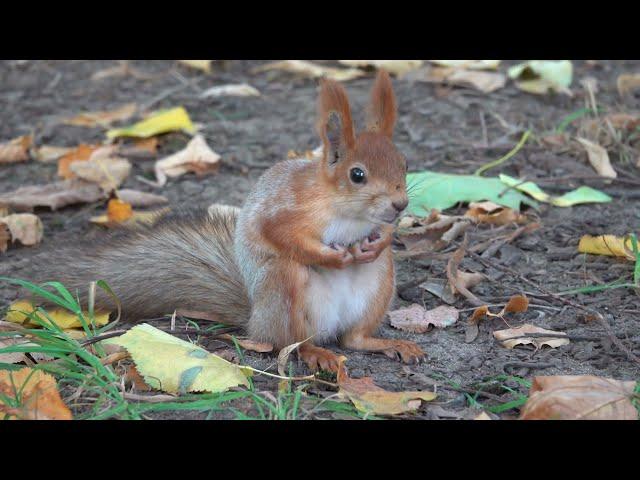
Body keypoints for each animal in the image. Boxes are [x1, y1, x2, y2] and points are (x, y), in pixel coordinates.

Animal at [27, 70, 424, 372]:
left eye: (405, 163)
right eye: (357, 175)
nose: (400, 204)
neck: (346, 211)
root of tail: (255, 319)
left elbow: (382, 232)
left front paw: (380, 239)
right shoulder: (286, 210)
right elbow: (279, 233)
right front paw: (332, 257)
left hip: (380, 283)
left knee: (352, 338)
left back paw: (386, 343)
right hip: (284, 287)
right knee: (290, 342)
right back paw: (316, 352)